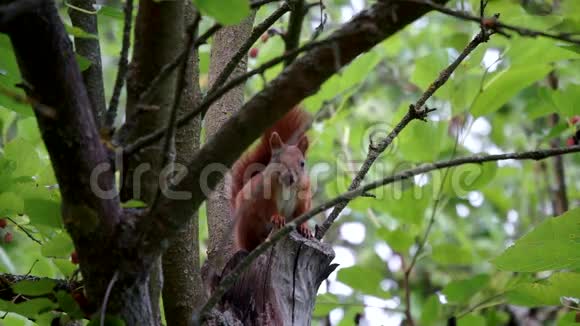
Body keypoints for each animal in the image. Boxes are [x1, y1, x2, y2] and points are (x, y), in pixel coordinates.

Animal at [230, 108, 312, 251]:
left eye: (302, 163)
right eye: (278, 160)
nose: (291, 177)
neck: (287, 187)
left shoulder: (304, 193)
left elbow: (302, 211)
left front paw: (305, 227)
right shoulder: (263, 195)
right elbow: (268, 209)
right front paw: (277, 218)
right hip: (246, 224)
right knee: (249, 241)